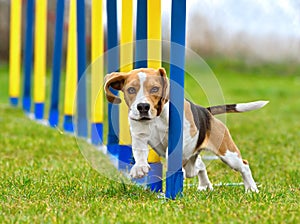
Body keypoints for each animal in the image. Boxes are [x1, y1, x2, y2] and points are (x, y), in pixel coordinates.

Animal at [104, 67, 268, 192]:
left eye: (155, 89)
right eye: (131, 90)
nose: (143, 107)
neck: (157, 117)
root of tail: (206, 111)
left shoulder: (187, 133)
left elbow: (173, 151)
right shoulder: (139, 135)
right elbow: (139, 152)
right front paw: (140, 168)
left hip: (228, 153)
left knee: (244, 165)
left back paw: (251, 189)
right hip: (195, 164)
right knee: (200, 166)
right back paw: (204, 186)